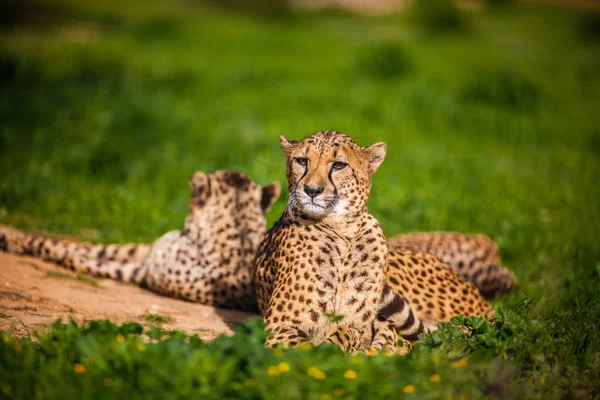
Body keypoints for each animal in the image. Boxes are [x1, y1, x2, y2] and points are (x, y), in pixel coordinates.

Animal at [0, 170, 282, 310]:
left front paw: (15, 240)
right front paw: (12, 237)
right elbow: (87, 247)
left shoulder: (143, 271)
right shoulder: (147, 254)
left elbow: (70, 251)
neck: (237, 230)